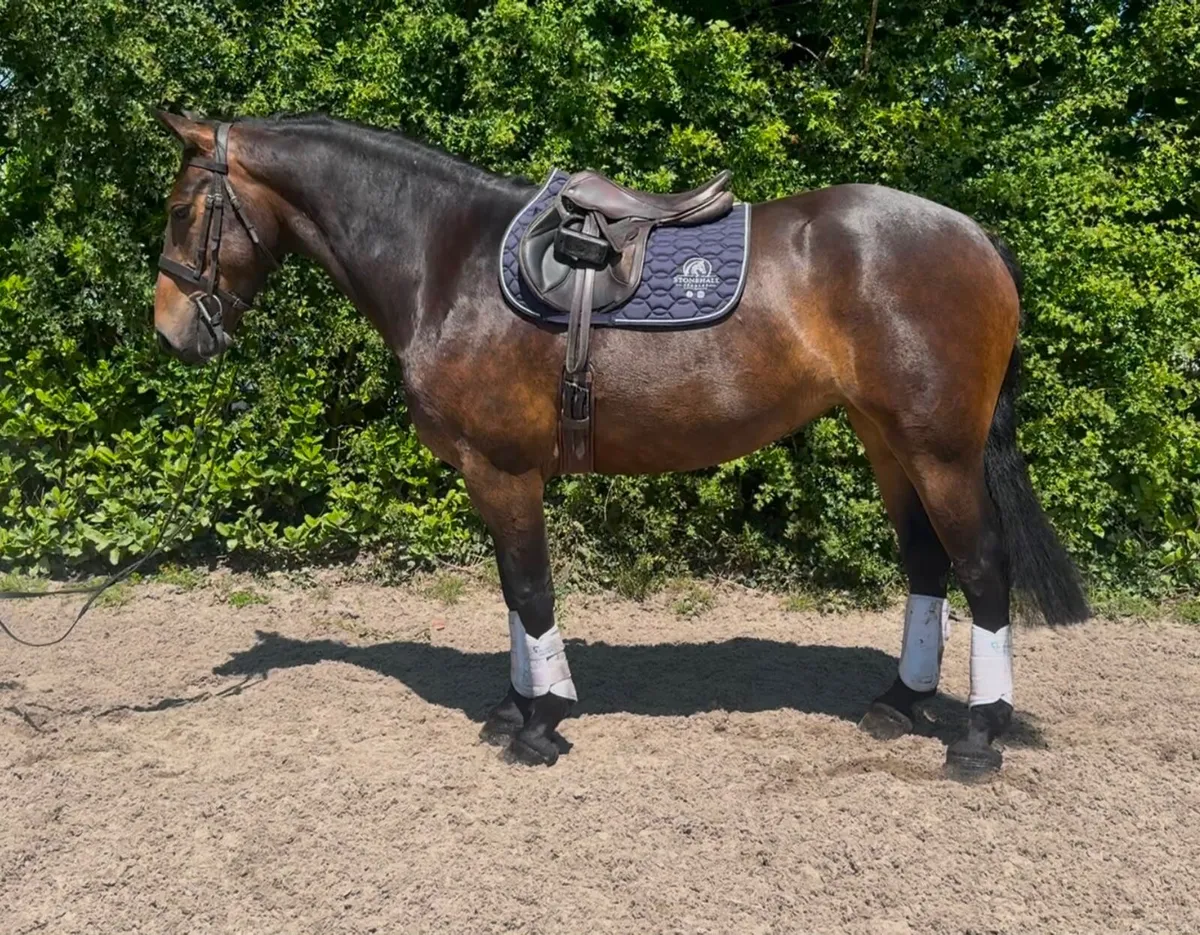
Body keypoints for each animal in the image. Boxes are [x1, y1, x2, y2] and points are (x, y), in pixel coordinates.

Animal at [151, 110, 1089, 778]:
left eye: (181, 208)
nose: (169, 332)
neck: (446, 260)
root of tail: (974, 236)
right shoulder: (496, 475)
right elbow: (512, 591)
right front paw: (515, 706)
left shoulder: (503, 470)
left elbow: (530, 588)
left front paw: (541, 722)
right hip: (888, 442)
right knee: (927, 564)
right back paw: (899, 701)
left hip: (942, 451)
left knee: (982, 568)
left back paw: (978, 734)